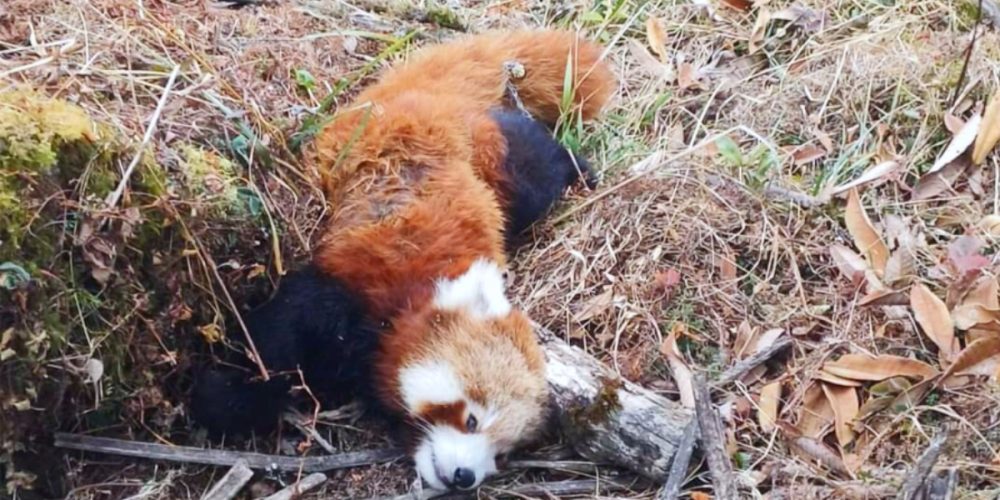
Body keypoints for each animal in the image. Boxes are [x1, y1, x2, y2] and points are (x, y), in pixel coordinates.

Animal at [190, 29, 612, 490]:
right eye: (471, 419)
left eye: (502, 453)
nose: (465, 477)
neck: (407, 305)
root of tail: (424, 93)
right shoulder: (350, 286)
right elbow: (275, 340)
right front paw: (224, 395)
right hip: (495, 152)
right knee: (535, 158)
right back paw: (577, 166)